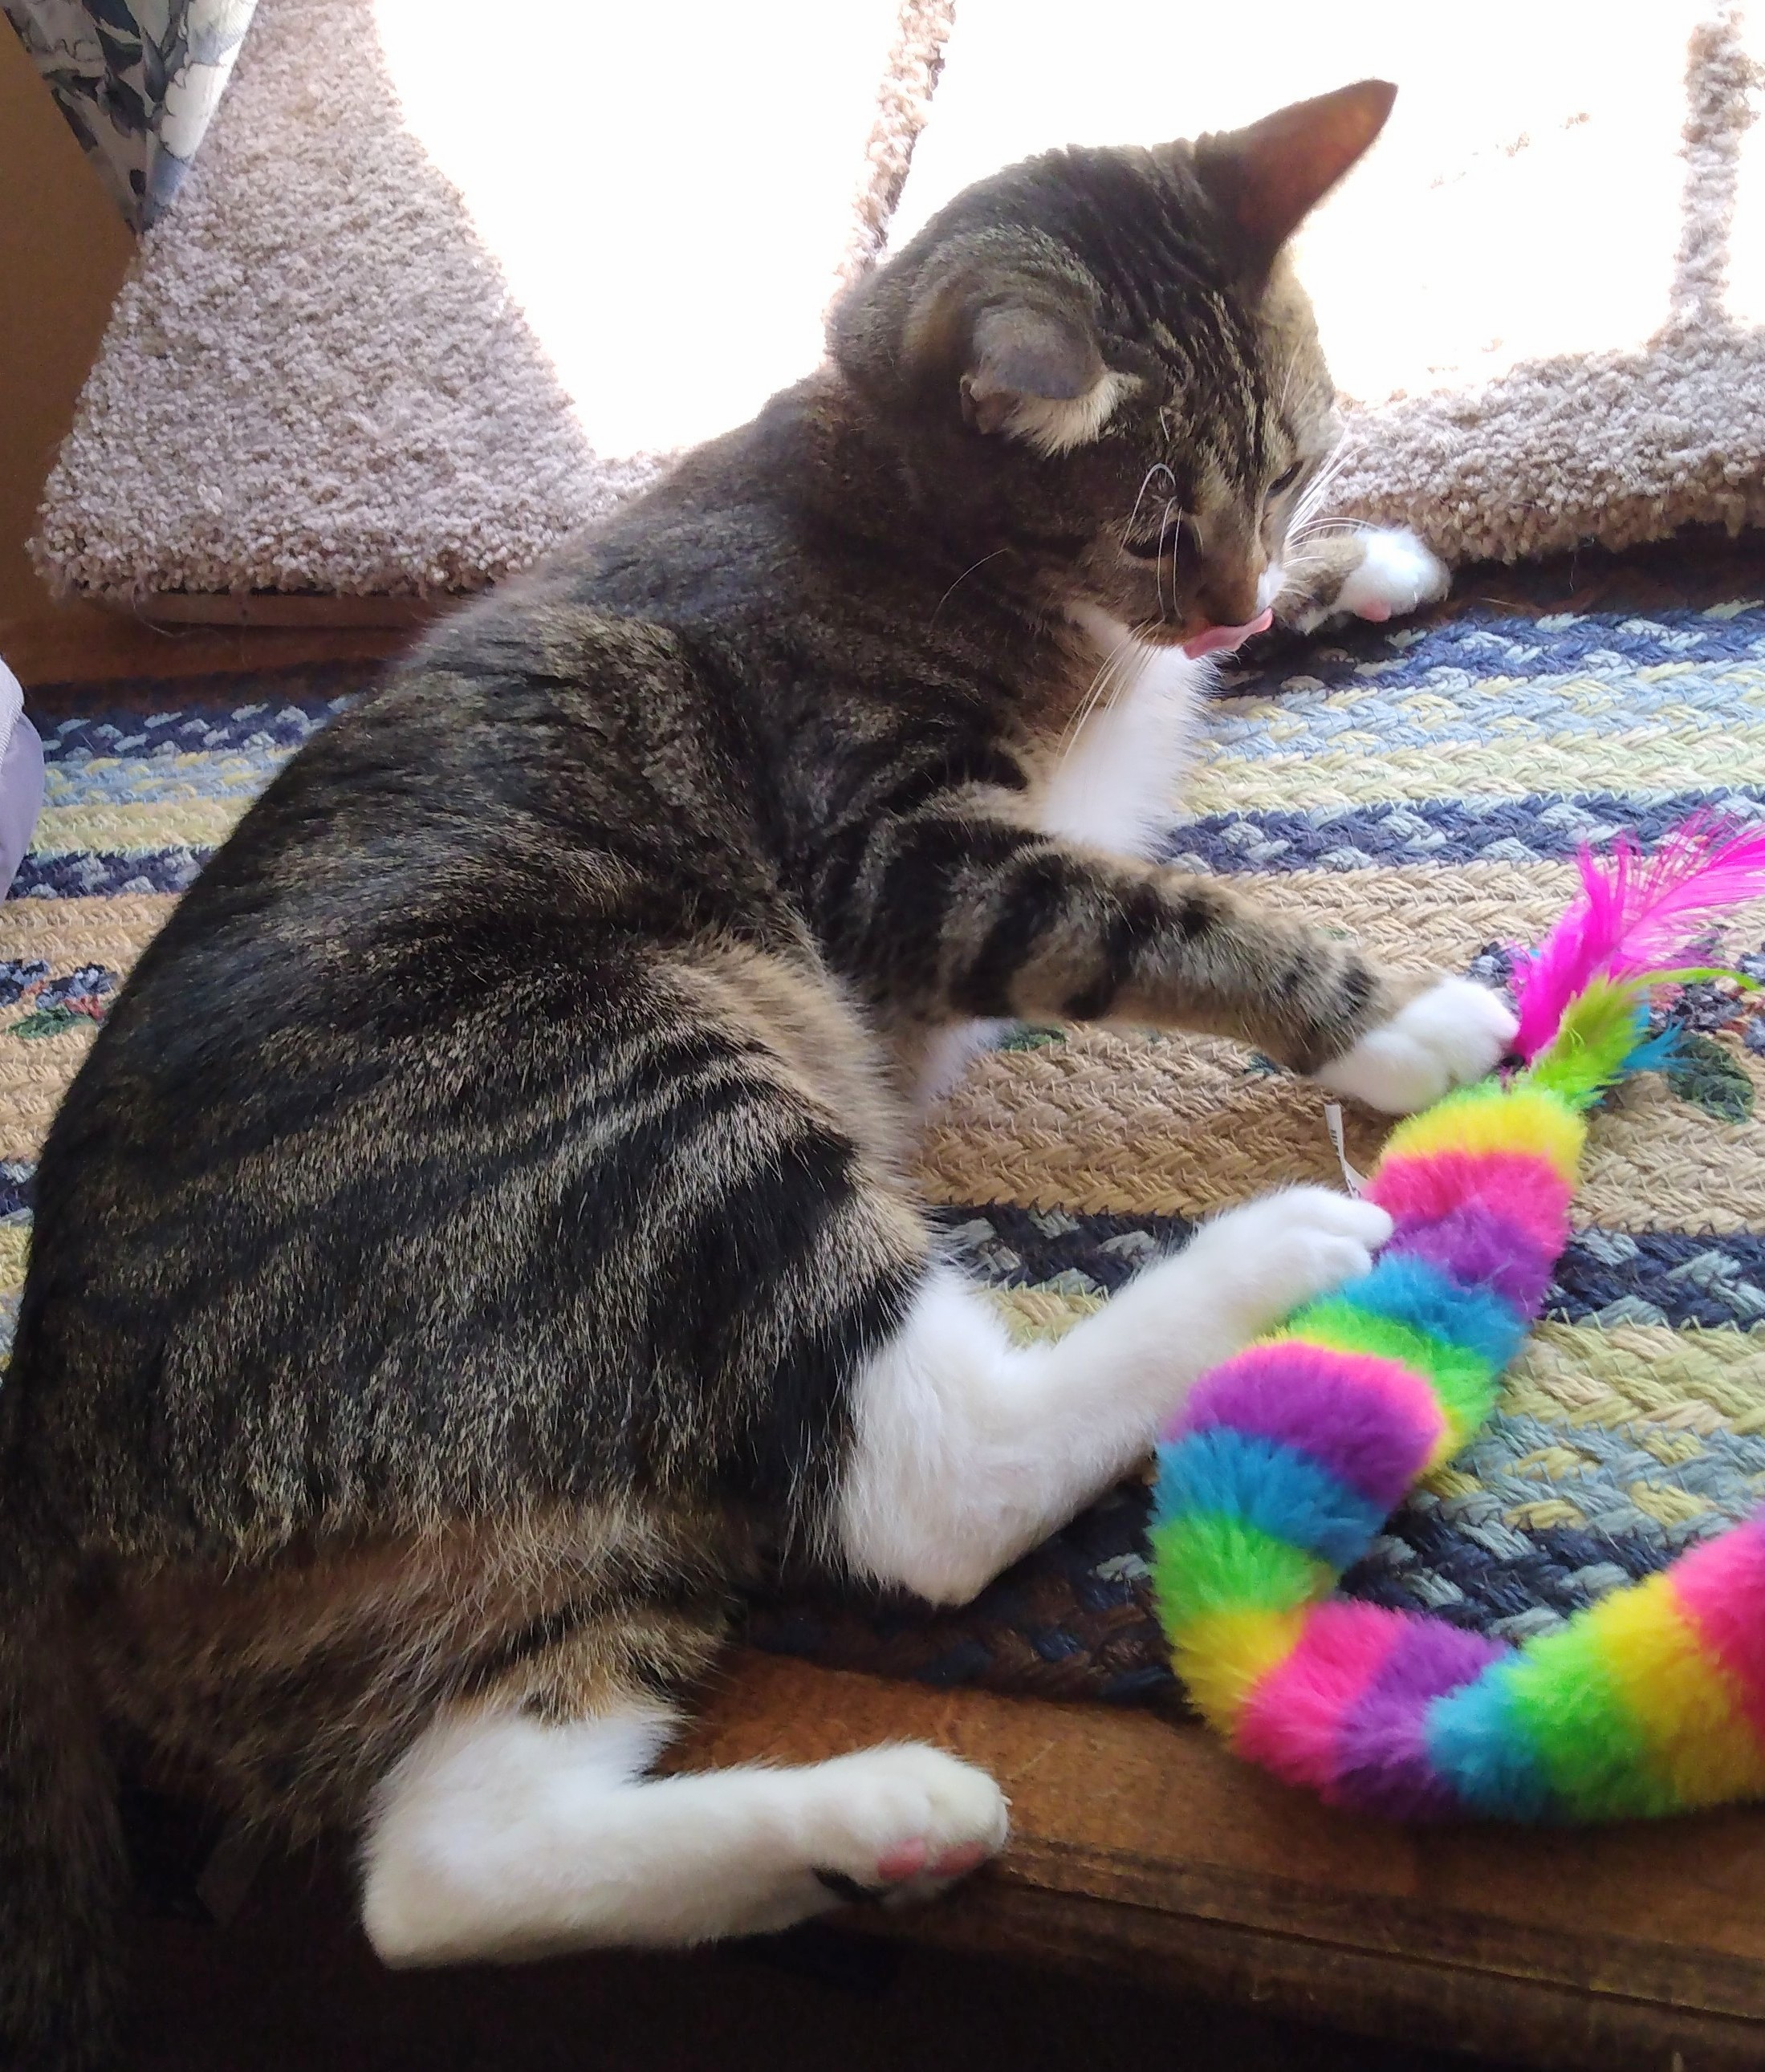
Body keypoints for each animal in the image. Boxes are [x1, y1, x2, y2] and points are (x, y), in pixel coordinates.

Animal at [3, 73, 1516, 2063]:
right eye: (1145, 523)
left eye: (1283, 471)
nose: (1228, 603)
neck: (887, 480)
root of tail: (47, 1477)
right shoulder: (899, 849)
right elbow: (1144, 911)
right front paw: (1390, 1015)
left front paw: (1370, 562)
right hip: (642, 1103)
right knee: (932, 1485)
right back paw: (1271, 1255)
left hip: (550, 1534)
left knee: (442, 1873)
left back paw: (872, 1821)